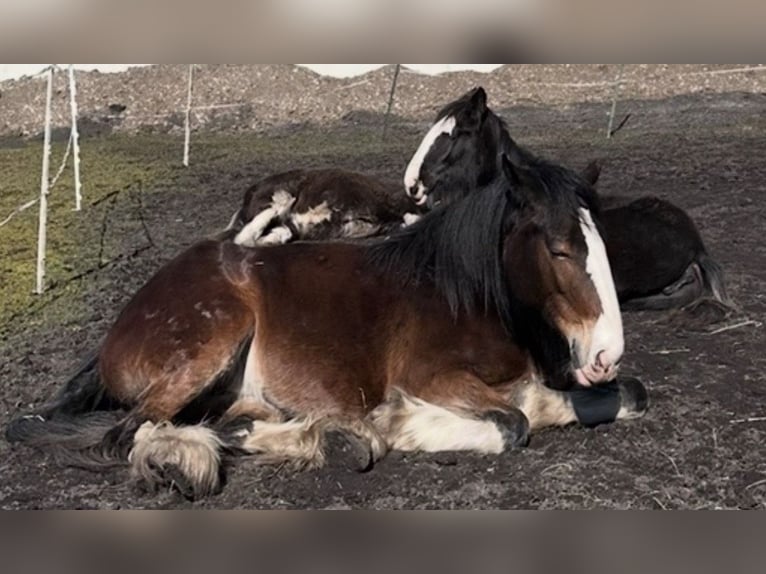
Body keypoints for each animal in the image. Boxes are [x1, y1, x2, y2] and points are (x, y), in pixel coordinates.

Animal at [6, 150, 647, 499]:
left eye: (601, 241)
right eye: (561, 249)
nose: (604, 356)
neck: (466, 294)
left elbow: (626, 396)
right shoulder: (433, 378)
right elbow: (513, 424)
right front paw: (399, 424)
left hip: (235, 390)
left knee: (221, 423)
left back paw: (324, 438)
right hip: (210, 341)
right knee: (133, 432)